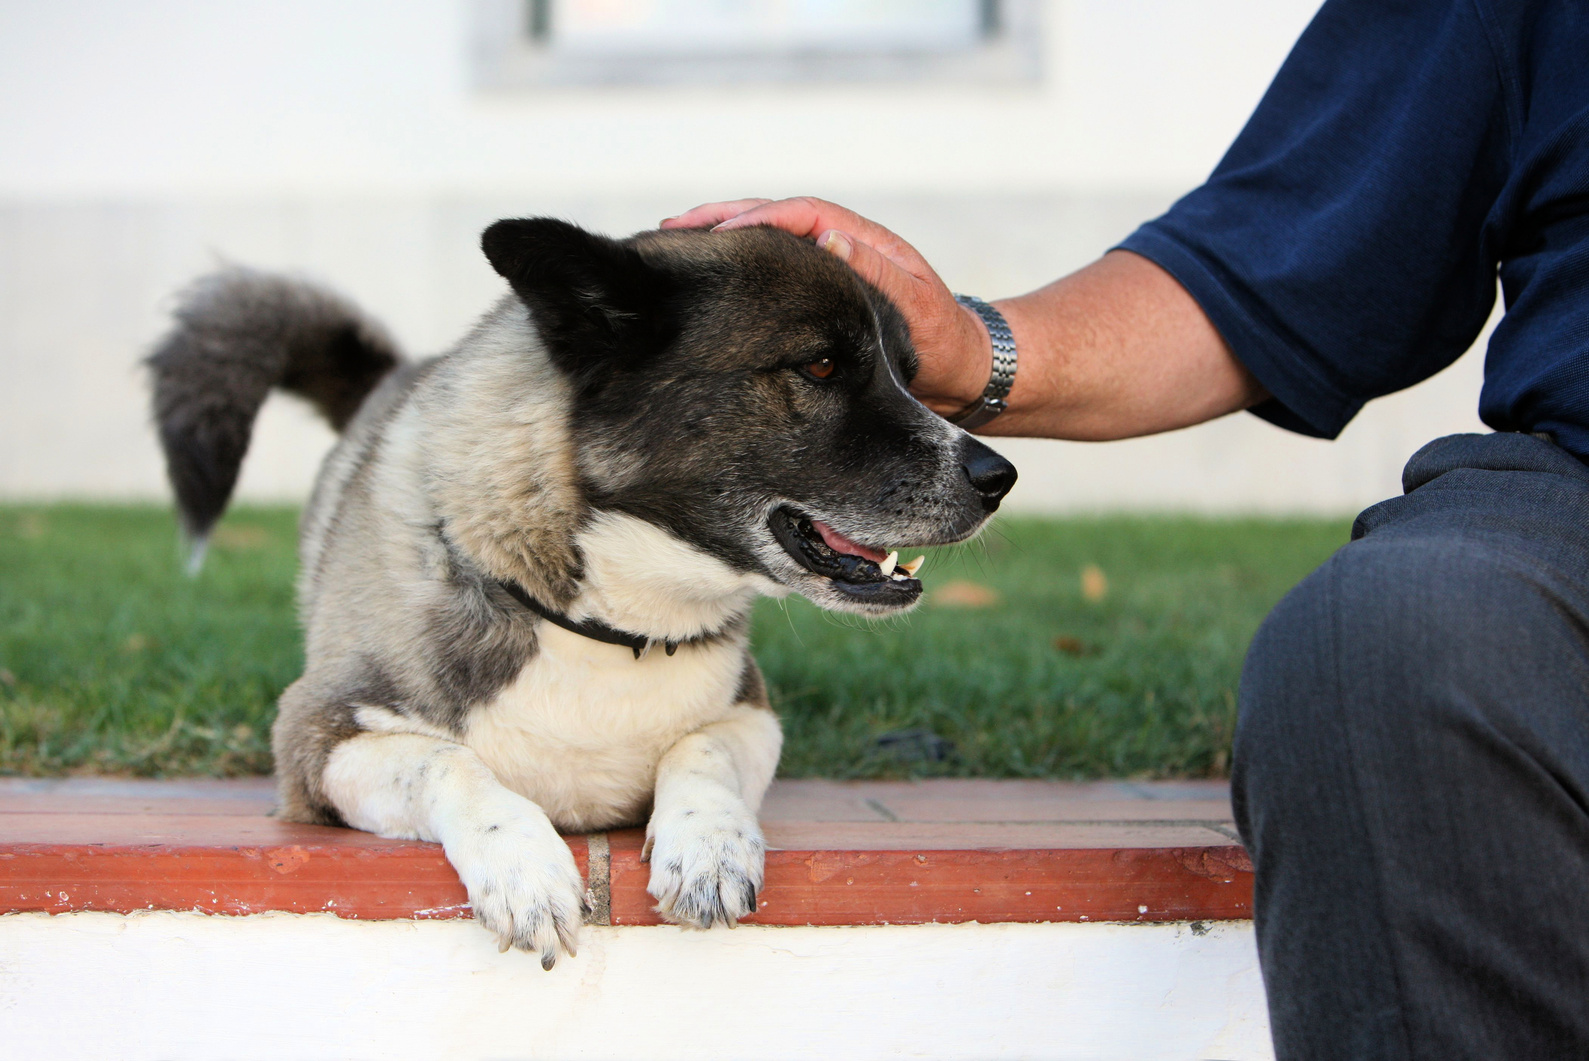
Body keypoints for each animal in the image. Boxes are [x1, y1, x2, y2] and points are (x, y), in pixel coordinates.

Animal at [149, 222, 1016, 972]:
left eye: (908, 372)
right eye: (822, 366)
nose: (997, 477)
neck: (606, 624)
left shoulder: (752, 715)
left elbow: (698, 749)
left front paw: (708, 843)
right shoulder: (315, 739)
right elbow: (449, 762)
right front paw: (520, 862)